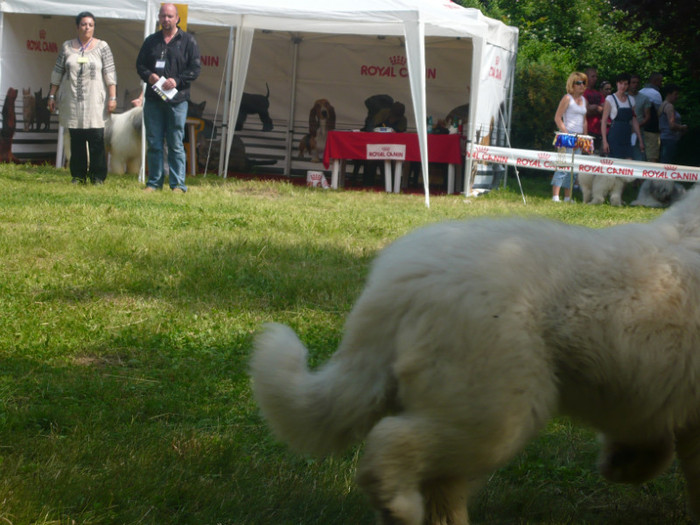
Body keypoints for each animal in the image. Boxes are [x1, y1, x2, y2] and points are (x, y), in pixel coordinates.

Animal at [253, 185, 700, 524]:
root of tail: (396, 285)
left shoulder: (657, 401)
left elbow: (658, 446)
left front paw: (623, 463)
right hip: (498, 413)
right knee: (392, 441)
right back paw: (397, 506)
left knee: (437, 484)